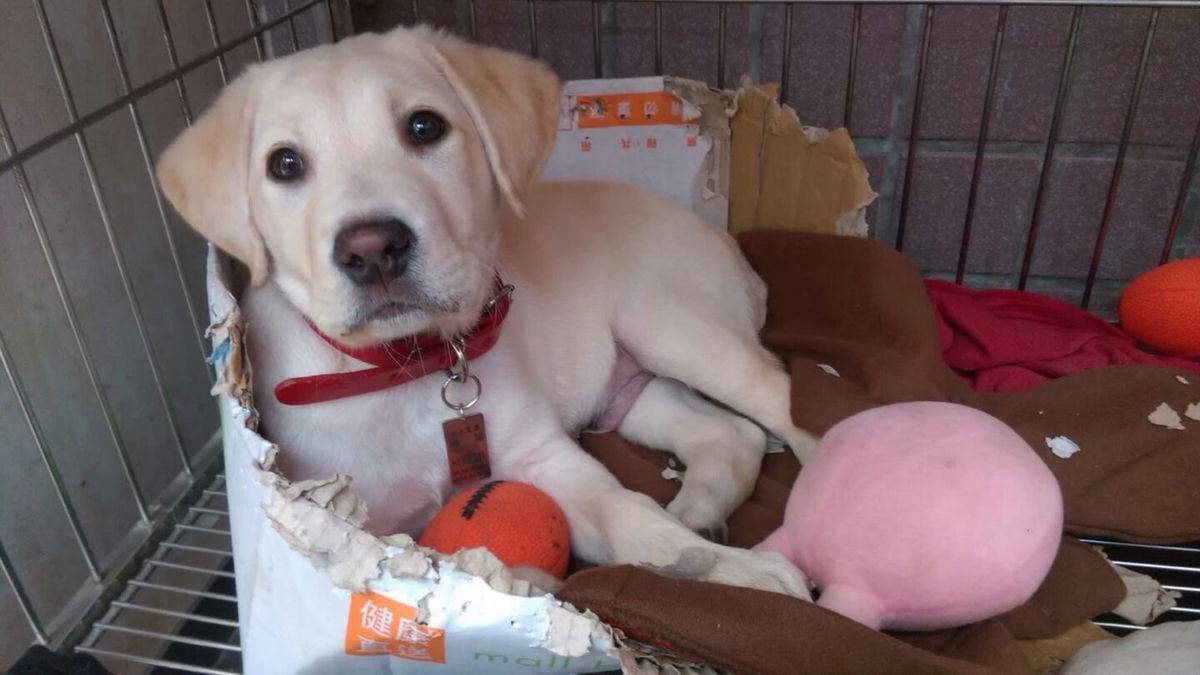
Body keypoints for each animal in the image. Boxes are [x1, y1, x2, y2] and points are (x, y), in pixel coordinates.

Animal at [157, 24, 816, 593]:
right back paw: (700, 511)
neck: (407, 367)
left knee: (781, 401)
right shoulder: (357, 530)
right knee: (731, 434)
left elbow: (634, 519)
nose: (372, 250)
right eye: (285, 164)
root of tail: (728, 245)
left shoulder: (543, 455)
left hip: (670, 322)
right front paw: (714, 564)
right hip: (627, 388)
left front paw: (737, 577)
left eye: (424, 127)